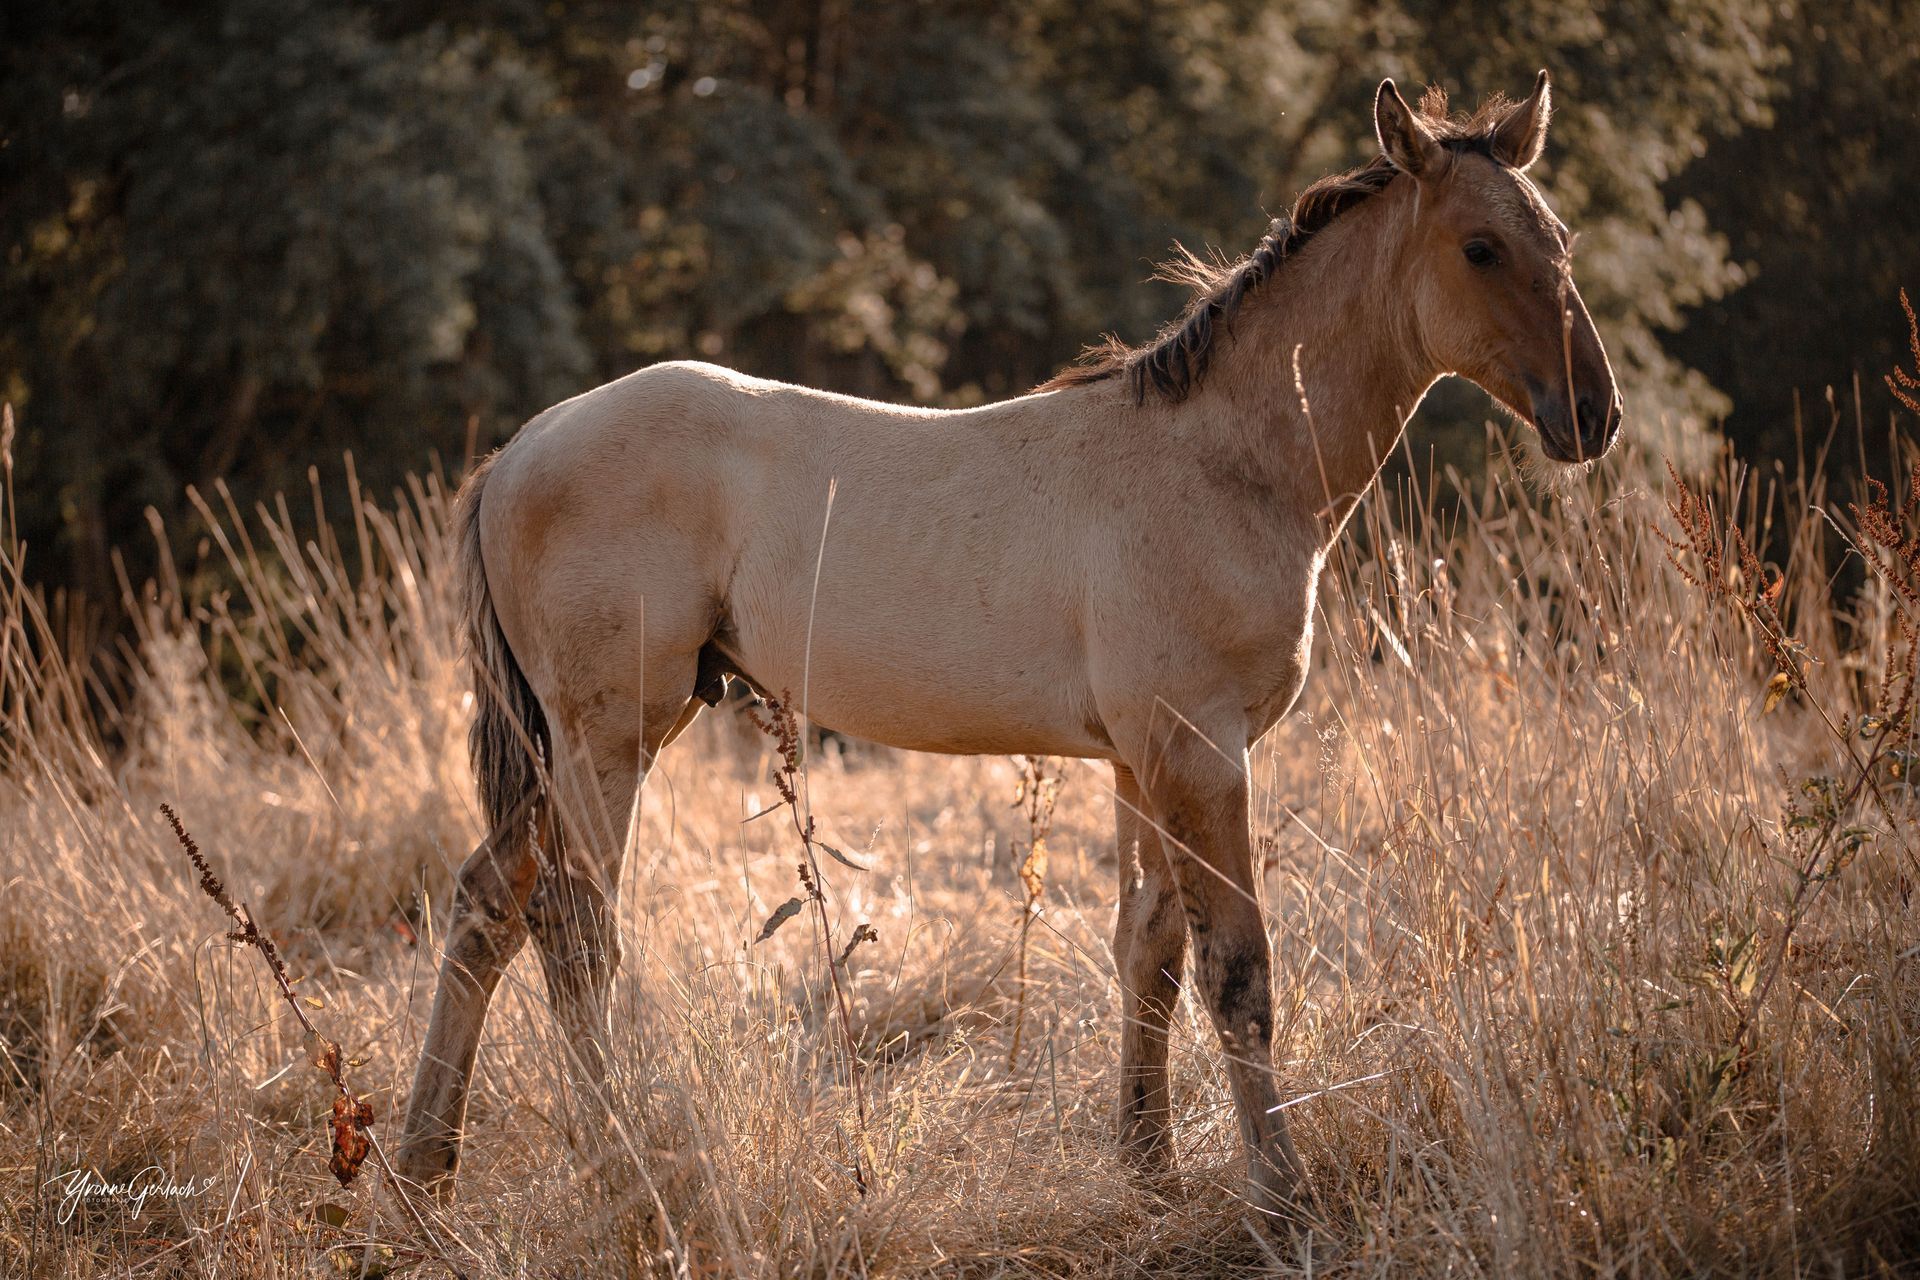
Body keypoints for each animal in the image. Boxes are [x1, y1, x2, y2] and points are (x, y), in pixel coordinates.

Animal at [401, 72, 1620, 1220]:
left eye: (1560, 239)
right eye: (1480, 248)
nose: (1593, 416)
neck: (1222, 462)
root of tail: (519, 451)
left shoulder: (1142, 759)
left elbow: (1148, 954)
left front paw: (1151, 1172)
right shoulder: (1203, 751)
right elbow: (1239, 973)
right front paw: (1280, 1196)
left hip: (565, 744)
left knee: (487, 906)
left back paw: (424, 1173)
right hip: (608, 737)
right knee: (572, 929)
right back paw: (631, 1176)